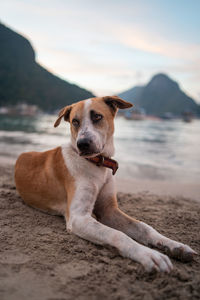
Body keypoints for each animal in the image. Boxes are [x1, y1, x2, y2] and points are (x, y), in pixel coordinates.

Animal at [14, 95, 196, 272]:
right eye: (75, 121)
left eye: (97, 116)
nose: (83, 144)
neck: (97, 165)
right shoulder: (79, 218)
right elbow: (117, 234)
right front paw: (149, 255)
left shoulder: (109, 210)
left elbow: (144, 227)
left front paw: (175, 245)